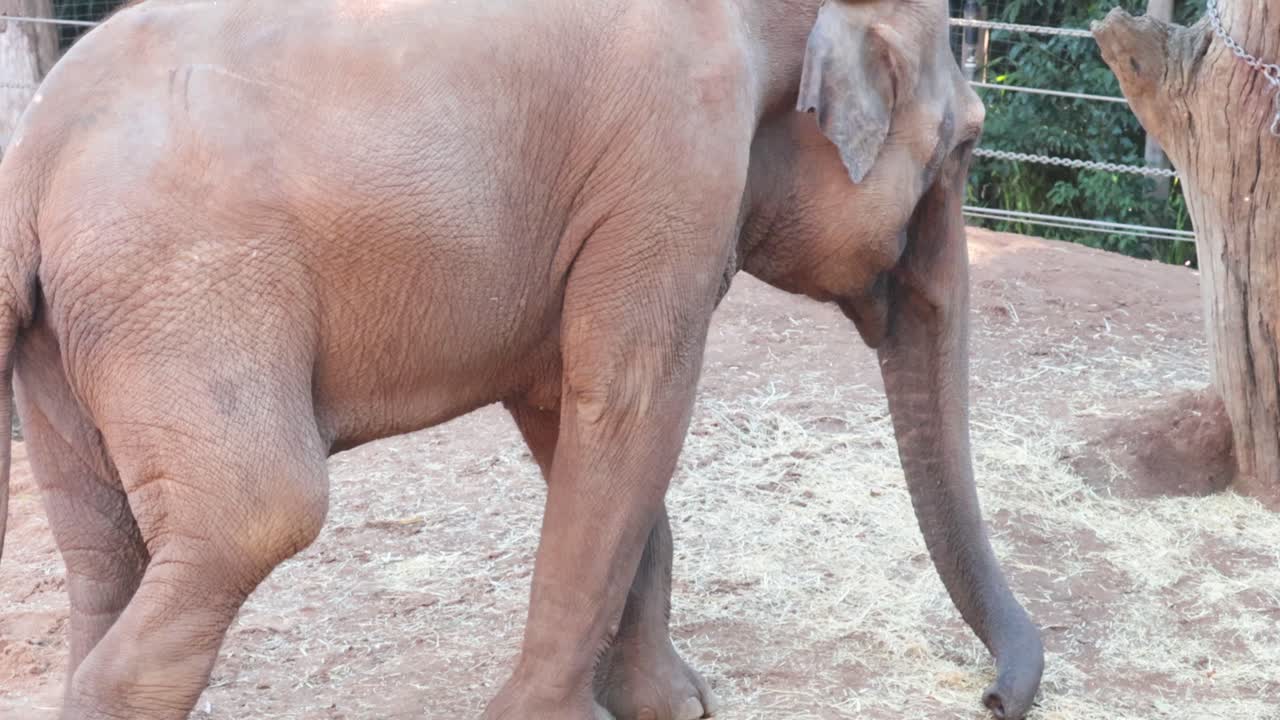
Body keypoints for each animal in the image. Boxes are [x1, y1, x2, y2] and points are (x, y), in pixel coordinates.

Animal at [0, 0, 1044, 718]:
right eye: (967, 145)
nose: (993, 699)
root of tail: (32, 153)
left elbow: (573, 418)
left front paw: (676, 707)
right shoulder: (672, 165)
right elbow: (630, 407)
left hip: (71, 341)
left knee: (102, 550)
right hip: (184, 299)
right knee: (259, 517)